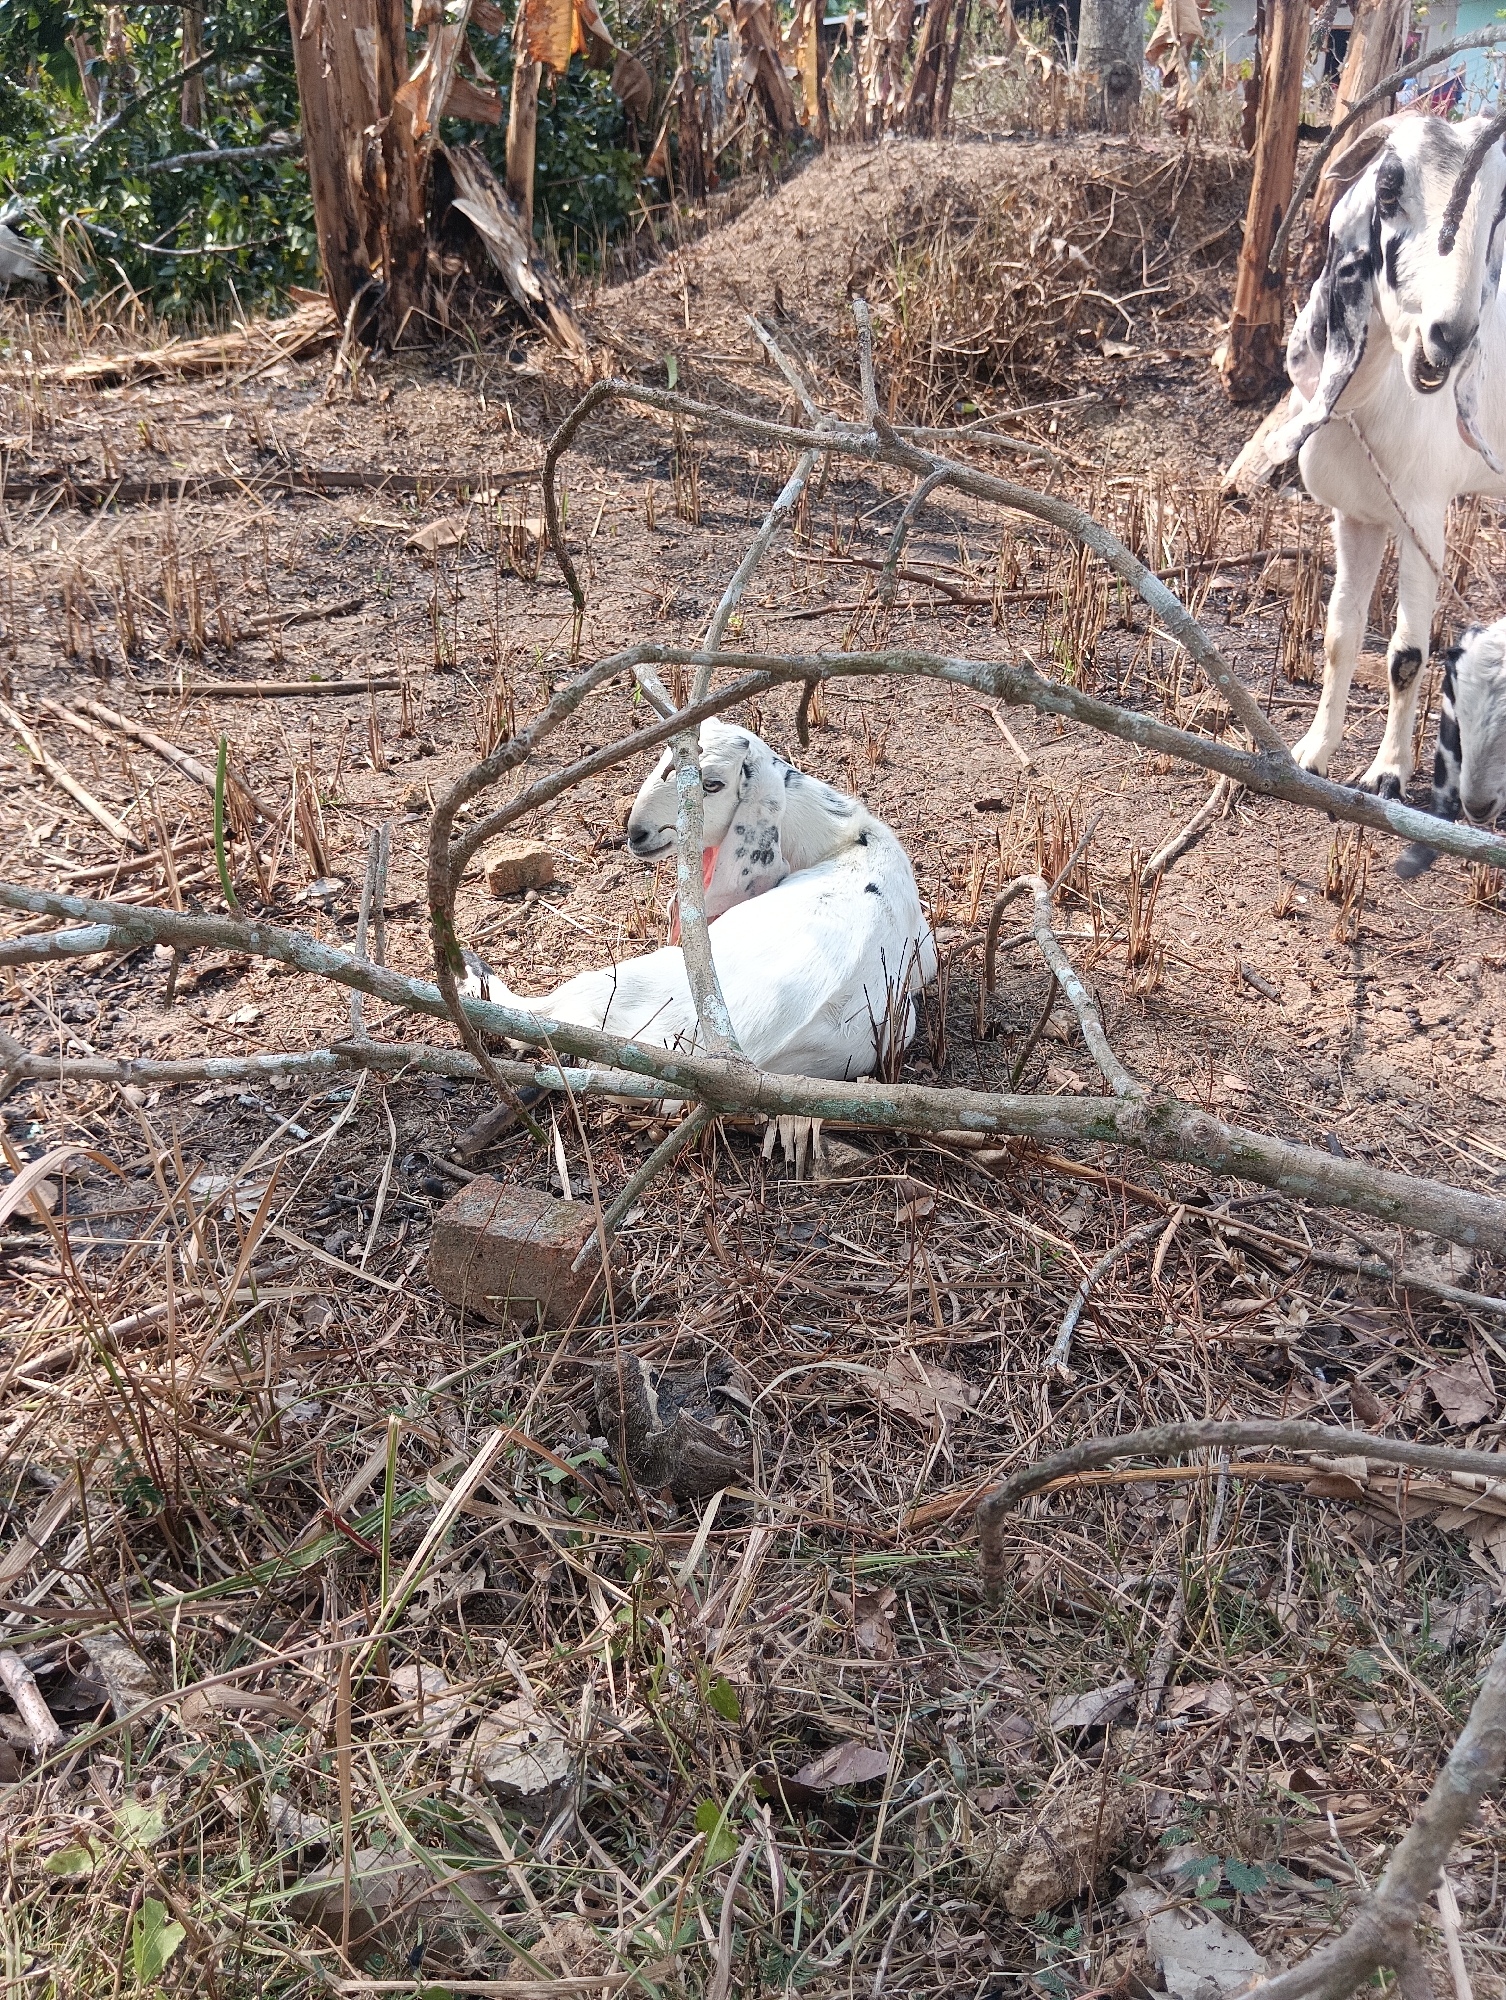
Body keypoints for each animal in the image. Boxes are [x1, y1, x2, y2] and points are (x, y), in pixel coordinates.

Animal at [464, 724, 937, 1080]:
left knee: (533, 1015)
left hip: (622, 983)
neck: (845, 838)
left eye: (712, 784)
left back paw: (472, 970)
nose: (637, 833)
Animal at [1268, 112, 1506, 799]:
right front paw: (1313, 753)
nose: (1449, 339)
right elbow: (1339, 636)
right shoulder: (1359, 518)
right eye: (1389, 187)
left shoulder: (1423, 517)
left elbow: (1405, 654)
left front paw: (1387, 774)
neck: (1371, 399)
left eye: (1499, 211)